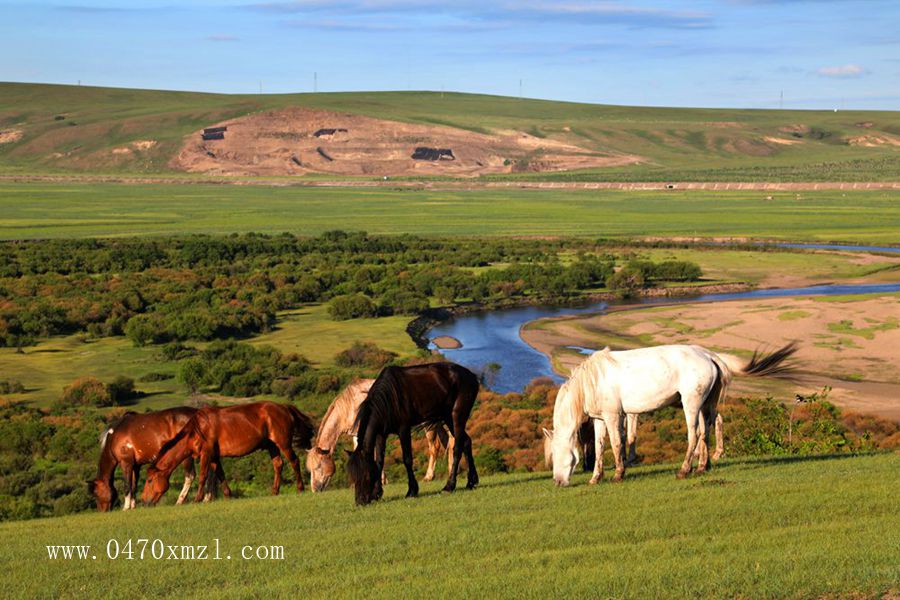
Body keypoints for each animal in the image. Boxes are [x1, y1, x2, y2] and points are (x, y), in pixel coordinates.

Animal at [141, 401, 315, 505]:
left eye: (149, 480)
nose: (144, 500)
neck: (197, 430)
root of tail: (285, 407)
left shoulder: (206, 454)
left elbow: (203, 476)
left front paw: (197, 498)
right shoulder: (214, 456)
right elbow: (220, 474)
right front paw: (228, 495)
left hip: (283, 443)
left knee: (294, 461)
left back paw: (300, 488)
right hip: (271, 446)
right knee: (278, 465)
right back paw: (274, 491)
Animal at [306, 379, 454, 492]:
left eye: (318, 467)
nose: (314, 489)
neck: (350, 406)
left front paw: (380, 480)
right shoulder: (356, 435)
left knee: (439, 446)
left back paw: (431, 476)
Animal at [346, 362, 479, 506]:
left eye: (366, 474)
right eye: (353, 476)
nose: (360, 501)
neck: (389, 396)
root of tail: (472, 376)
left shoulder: (404, 429)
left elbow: (407, 459)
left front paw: (411, 491)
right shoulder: (381, 434)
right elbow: (380, 461)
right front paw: (377, 493)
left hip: (457, 416)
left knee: (457, 448)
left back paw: (449, 486)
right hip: (448, 418)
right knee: (466, 442)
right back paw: (471, 482)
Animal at [549, 343, 796, 486]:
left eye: (557, 454)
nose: (558, 482)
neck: (593, 380)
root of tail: (709, 355)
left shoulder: (613, 416)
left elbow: (617, 443)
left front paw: (619, 473)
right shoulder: (600, 419)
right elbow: (601, 447)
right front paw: (595, 477)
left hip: (691, 404)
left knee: (694, 434)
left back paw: (684, 470)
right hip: (706, 405)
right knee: (706, 431)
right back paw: (703, 467)